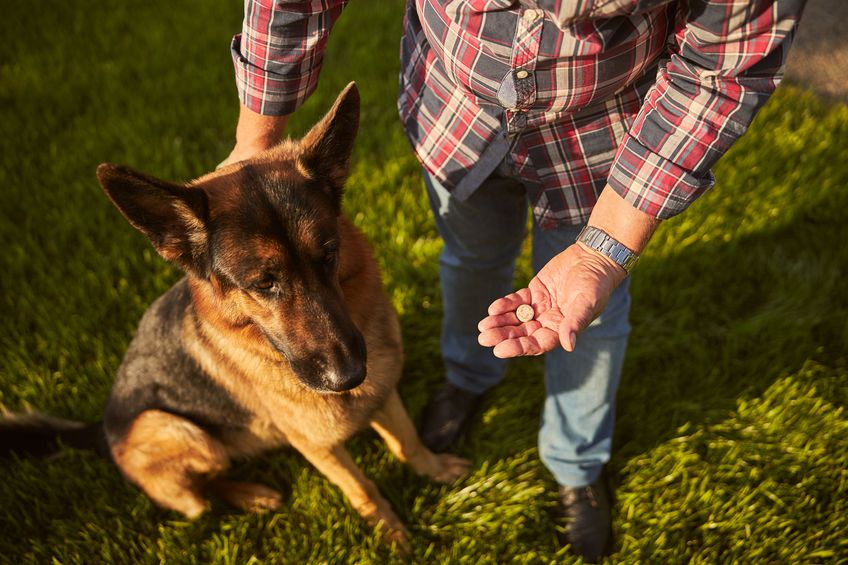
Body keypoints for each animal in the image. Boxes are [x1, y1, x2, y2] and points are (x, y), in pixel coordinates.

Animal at [1, 83, 470, 548]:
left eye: (329, 254)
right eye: (263, 283)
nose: (351, 376)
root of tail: (100, 428)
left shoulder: (384, 393)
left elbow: (406, 442)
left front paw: (433, 469)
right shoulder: (316, 446)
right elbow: (362, 487)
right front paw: (388, 531)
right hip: (177, 430)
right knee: (202, 498)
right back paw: (250, 494)